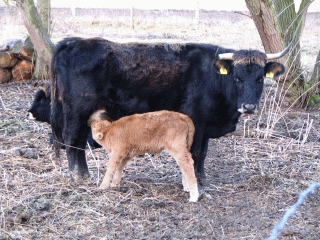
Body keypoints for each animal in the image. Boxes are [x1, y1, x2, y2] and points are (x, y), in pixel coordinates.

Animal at [50, 37, 290, 184]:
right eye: (237, 77)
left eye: (260, 78)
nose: (248, 106)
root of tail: (73, 42)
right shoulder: (196, 120)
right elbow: (195, 153)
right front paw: (195, 181)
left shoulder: (206, 124)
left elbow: (203, 153)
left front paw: (202, 179)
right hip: (77, 112)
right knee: (72, 141)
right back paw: (80, 176)